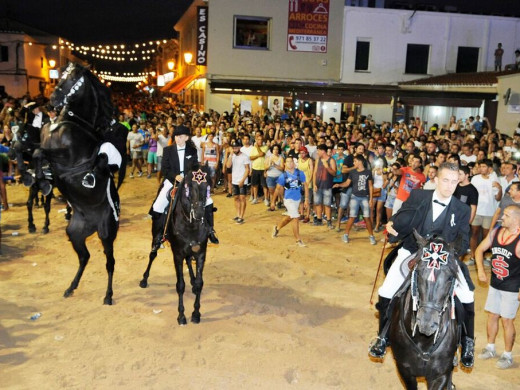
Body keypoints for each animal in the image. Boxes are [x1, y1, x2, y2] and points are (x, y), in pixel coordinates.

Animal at [36, 61, 128, 304]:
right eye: (60, 75)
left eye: (71, 78)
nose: (51, 100)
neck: (71, 122)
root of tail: (92, 224)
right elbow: (36, 152)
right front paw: (41, 178)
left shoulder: (68, 157)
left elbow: (40, 152)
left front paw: (40, 180)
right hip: (74, 234)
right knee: (84, 257)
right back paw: (71, 287)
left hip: (106, 233)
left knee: (109, 262)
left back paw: (108, 295)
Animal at [140, 166, 211, 324]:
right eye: (189, 188)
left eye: (208, 186)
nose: (199, 213)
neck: (191, 224)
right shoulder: (177, 254)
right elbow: (180, 285)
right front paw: (181, 316)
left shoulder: (201, 253)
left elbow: (199, 283)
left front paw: (196, 314)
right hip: (156, 236)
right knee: (152, 254)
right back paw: (144, 279)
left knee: (189, 261)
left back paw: (192, 279)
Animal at [390, 232, 460, 390]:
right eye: (418, 272)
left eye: (450, 278)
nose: (427, 323)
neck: (424, 341)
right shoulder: (405, 370)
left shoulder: (440, 375)